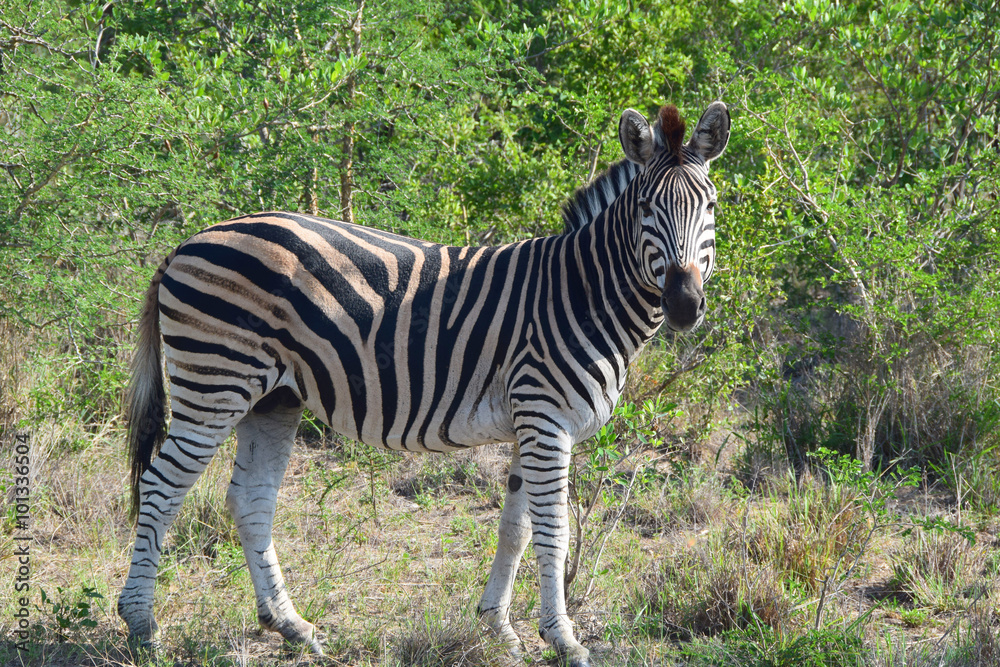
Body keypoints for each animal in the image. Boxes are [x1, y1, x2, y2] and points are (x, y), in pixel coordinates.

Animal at [118, 101, 730, 666]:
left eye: (711, 207)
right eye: (647, 209)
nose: (684, 304)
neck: (582, 293)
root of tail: (186, 242)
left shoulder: (529, 422)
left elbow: (515, 527)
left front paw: (497, 627)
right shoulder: (545, 417)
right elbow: (553, 530)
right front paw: (563, 639)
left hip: (273, 397)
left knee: (250, 499)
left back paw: (291, 626)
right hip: (215, 383)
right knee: (162, 486)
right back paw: (143, 626)